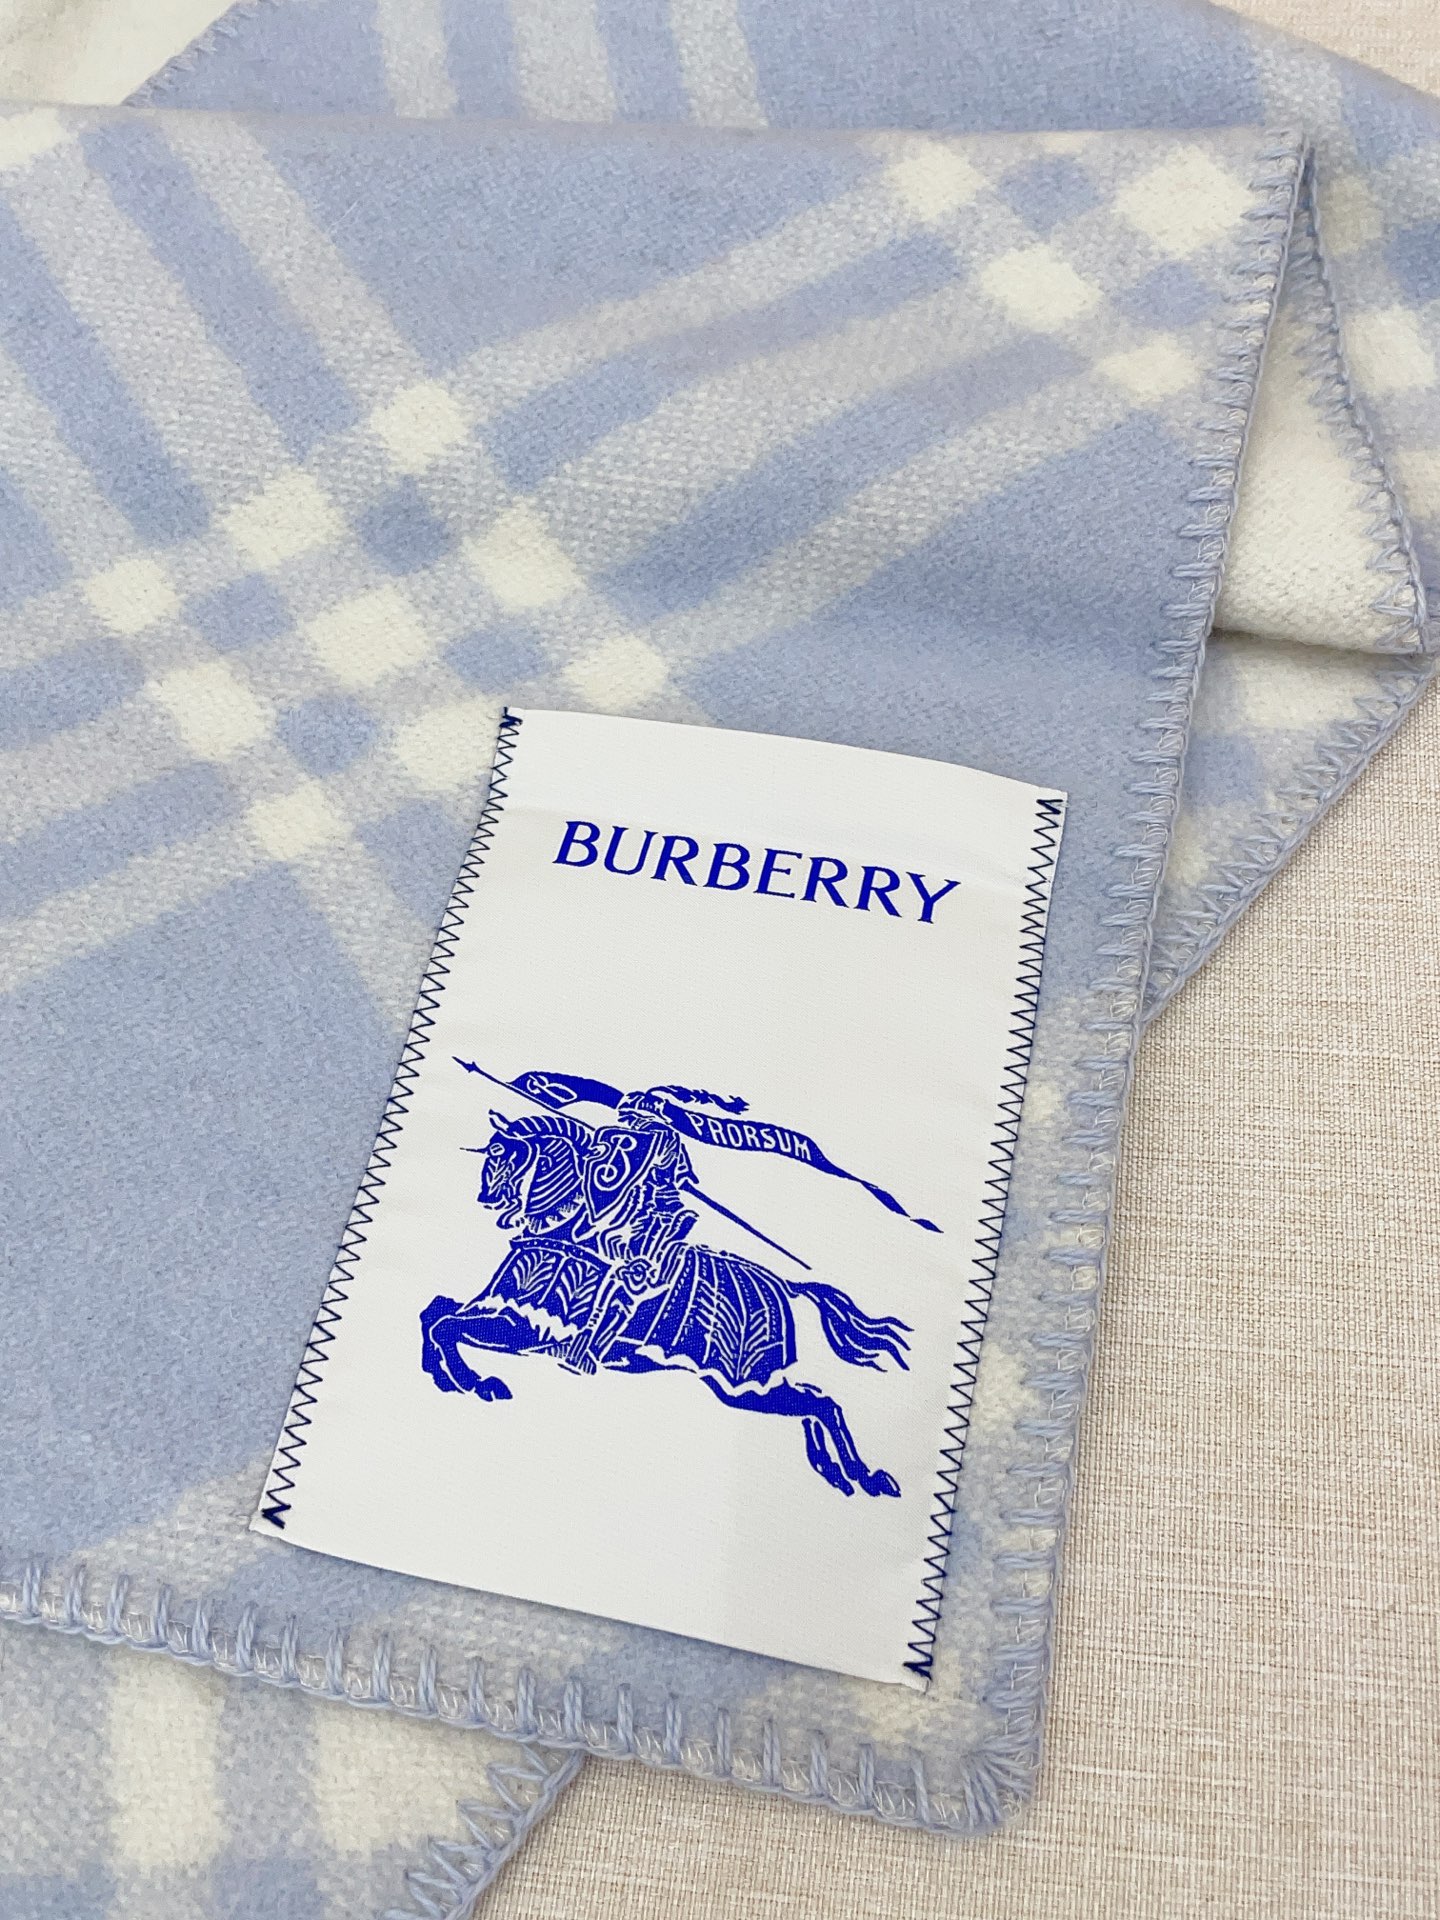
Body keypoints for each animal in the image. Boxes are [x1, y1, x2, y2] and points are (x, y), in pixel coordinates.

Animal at [420, 1105, 912, 1498]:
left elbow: (447, 1325)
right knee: (813, 1403)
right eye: (490, 1153)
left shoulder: (528, 1329)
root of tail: (785, 1285)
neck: (566, 1235)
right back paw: (835, 1471)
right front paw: (444, 1376)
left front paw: (477, 1382)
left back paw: (864, 1476)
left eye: (510, 1156)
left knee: (822, 1405)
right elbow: (436, 1312)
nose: (486, 1198)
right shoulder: (498, 1308)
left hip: (744, 1385)